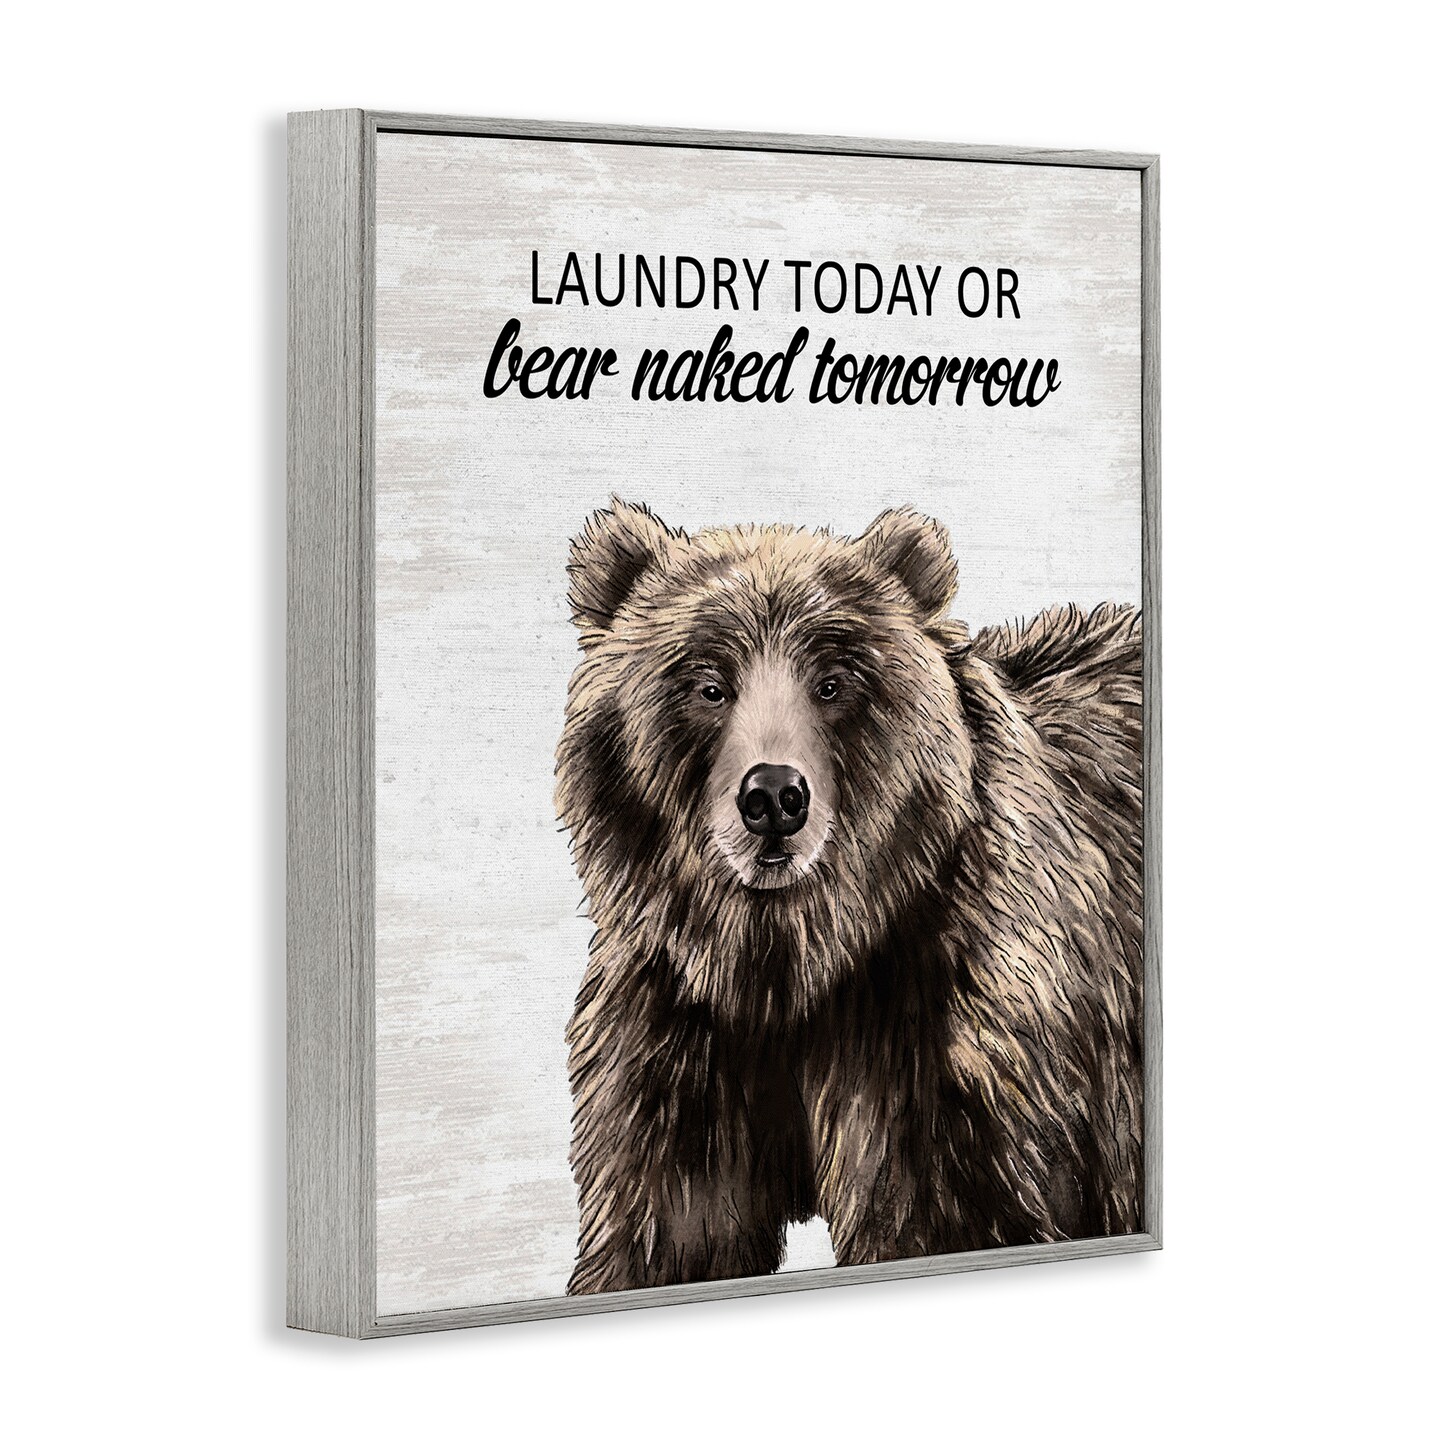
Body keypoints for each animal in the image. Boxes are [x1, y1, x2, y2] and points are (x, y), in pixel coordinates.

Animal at [556, 499, 1143, 1294]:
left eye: (833, 683)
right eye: (709, 685)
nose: (774, 796)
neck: (789, 965)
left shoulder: (936, 1028)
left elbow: (940, 1213)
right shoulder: (679, 1029)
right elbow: (670, 1233)